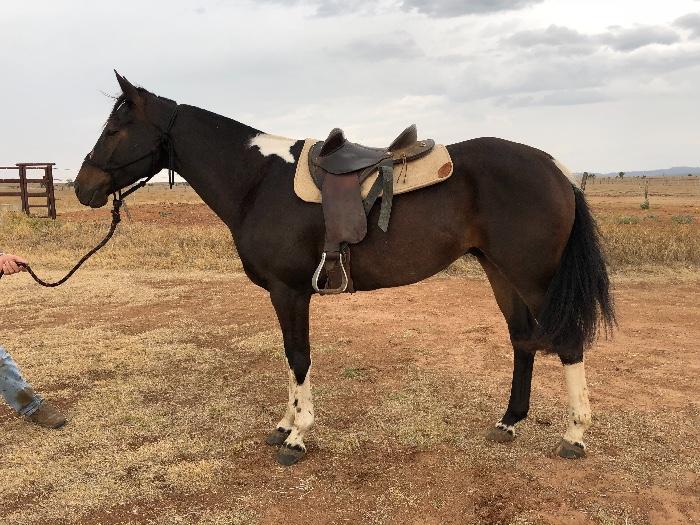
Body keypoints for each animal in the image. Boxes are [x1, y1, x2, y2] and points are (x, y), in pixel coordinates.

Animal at [75, 72, 615, 466]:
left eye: (114, 130)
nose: (83, 187)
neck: (258, 181)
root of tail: (555, 168)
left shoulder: (289, 291)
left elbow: (298, 357)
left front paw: (297, 437)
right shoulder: (285, 294)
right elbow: (290, 358)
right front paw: (284, 425)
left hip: (534, 277)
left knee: (566, 342)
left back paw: (574, 436)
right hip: (500, 273)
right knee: (523, 340)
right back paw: (508, 422)